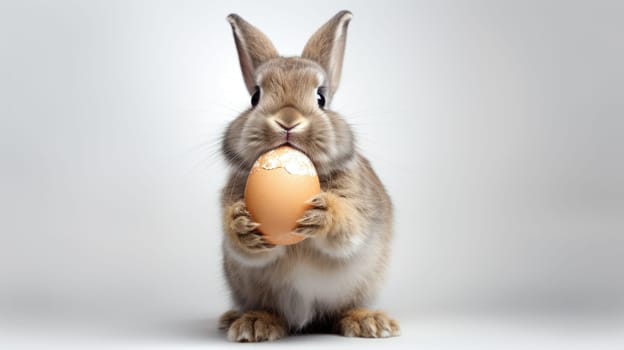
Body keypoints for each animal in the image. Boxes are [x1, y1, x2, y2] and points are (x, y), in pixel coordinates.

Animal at [217, 10, 398, 342]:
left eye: (321, 98)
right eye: (255, 97)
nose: (287, 120)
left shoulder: (359, 207)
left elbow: (348, 229)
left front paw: (322, 213)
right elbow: (245, 248)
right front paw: (241, 225)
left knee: (344, 309)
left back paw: (369, 322)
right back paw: (251, 323)